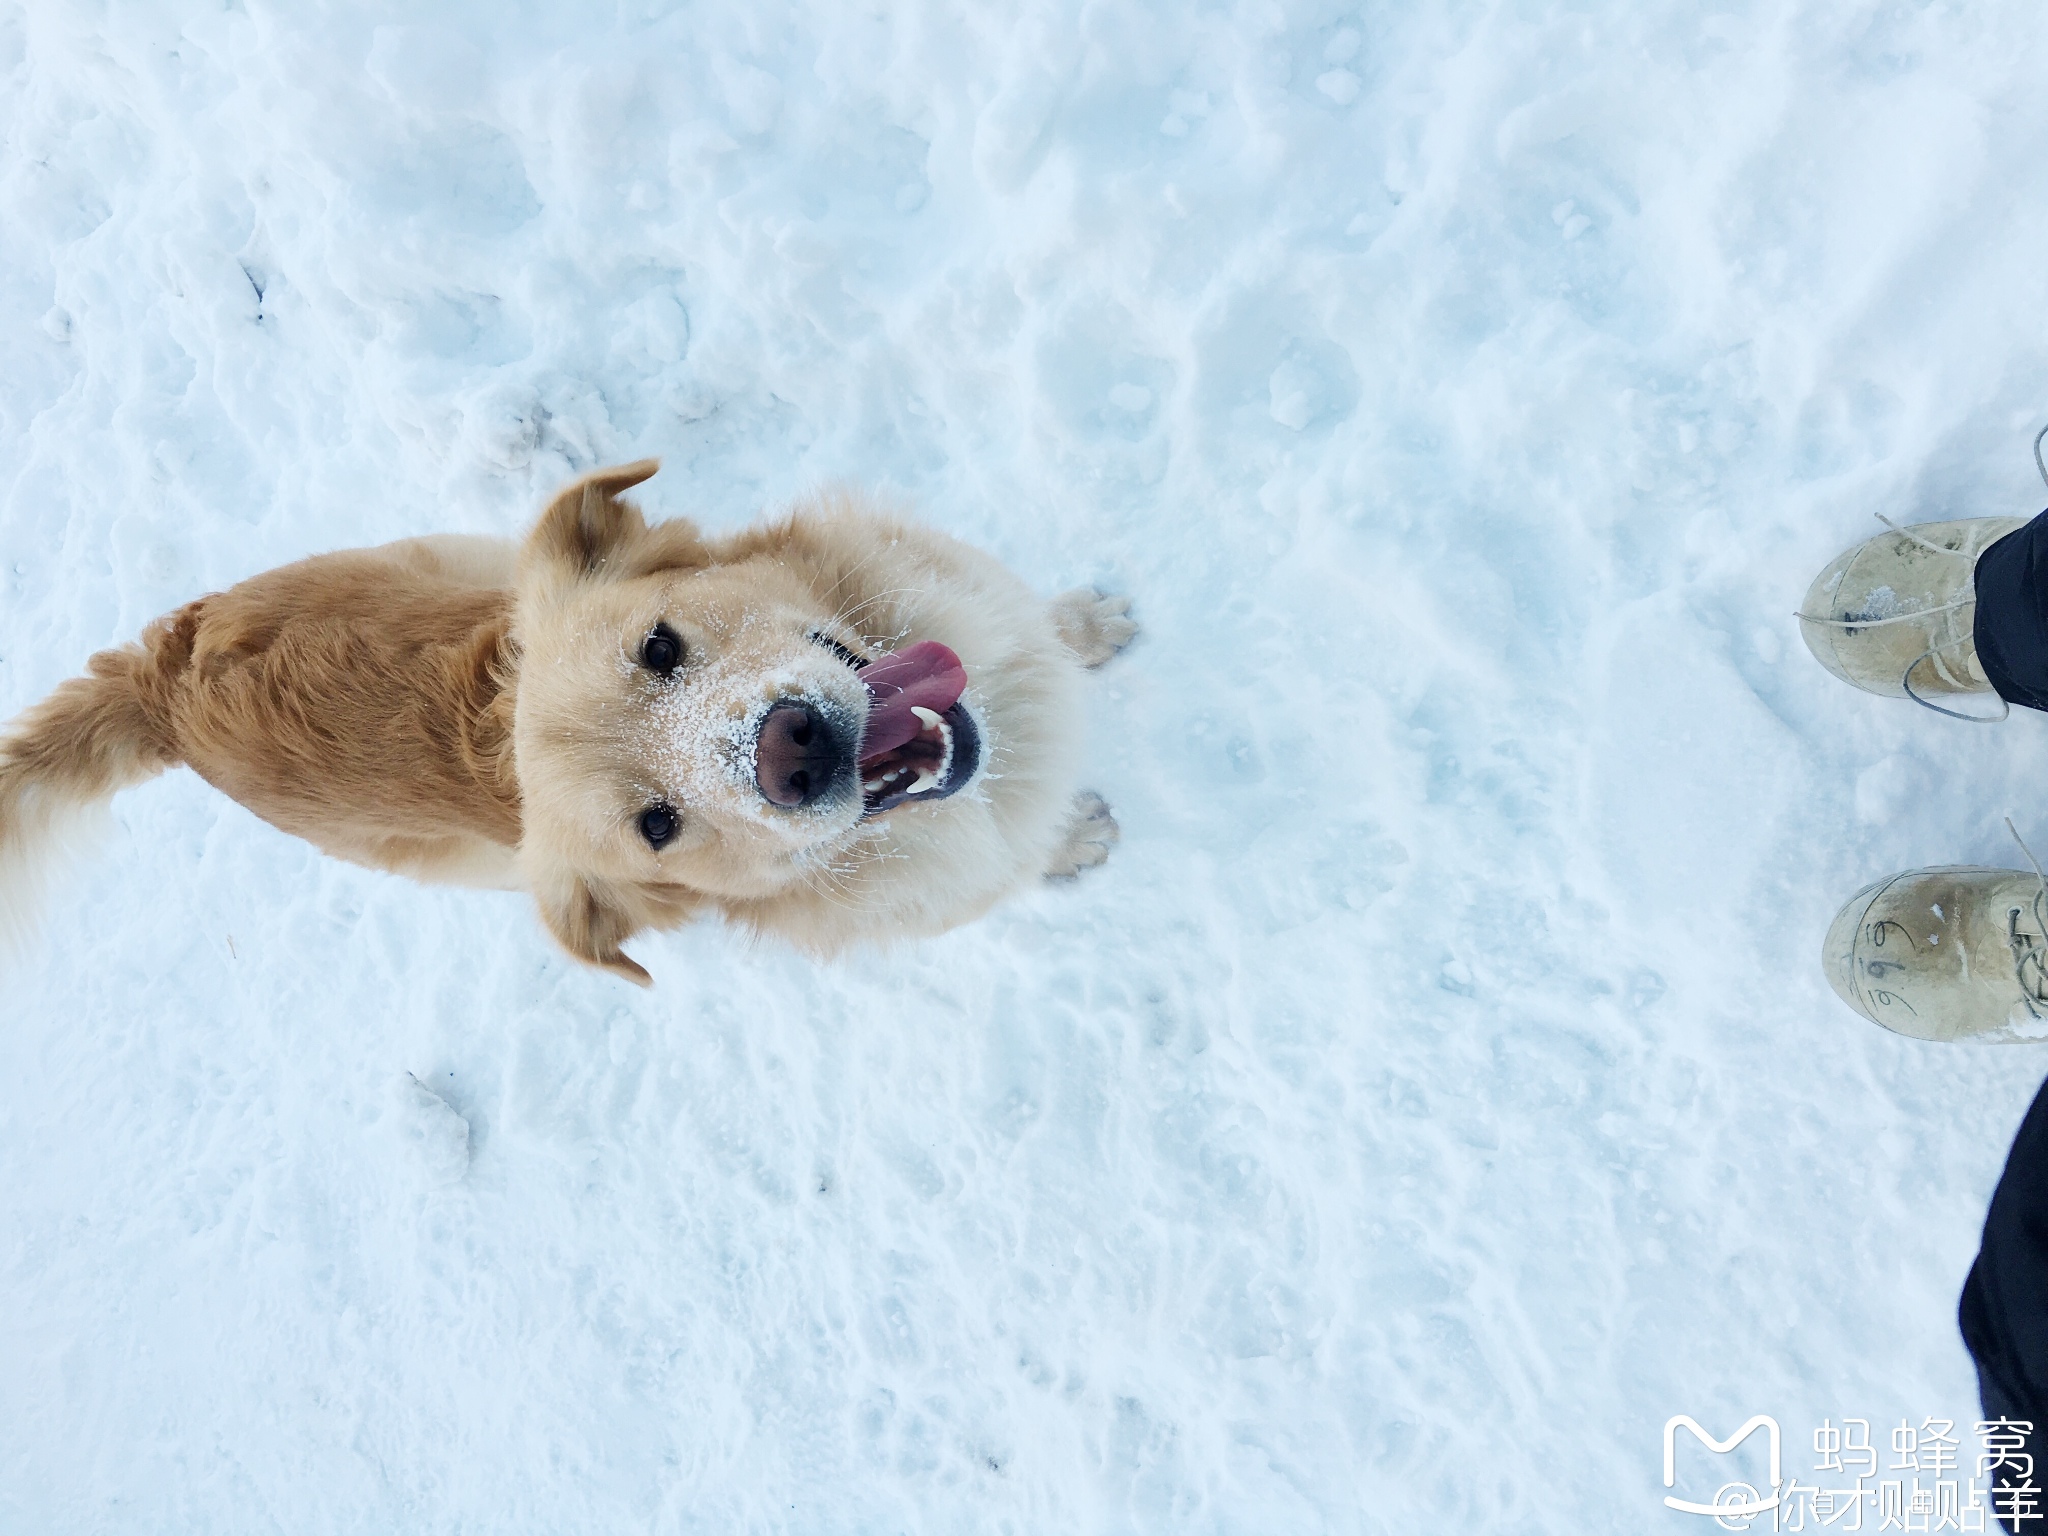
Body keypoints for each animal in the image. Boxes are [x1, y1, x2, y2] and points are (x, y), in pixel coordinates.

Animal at [0, 462, 1138, 978]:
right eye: (656, 827)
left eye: (661, 648)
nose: (790, 751)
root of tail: (159, 685)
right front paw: (1075, 841)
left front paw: (1085, 626)